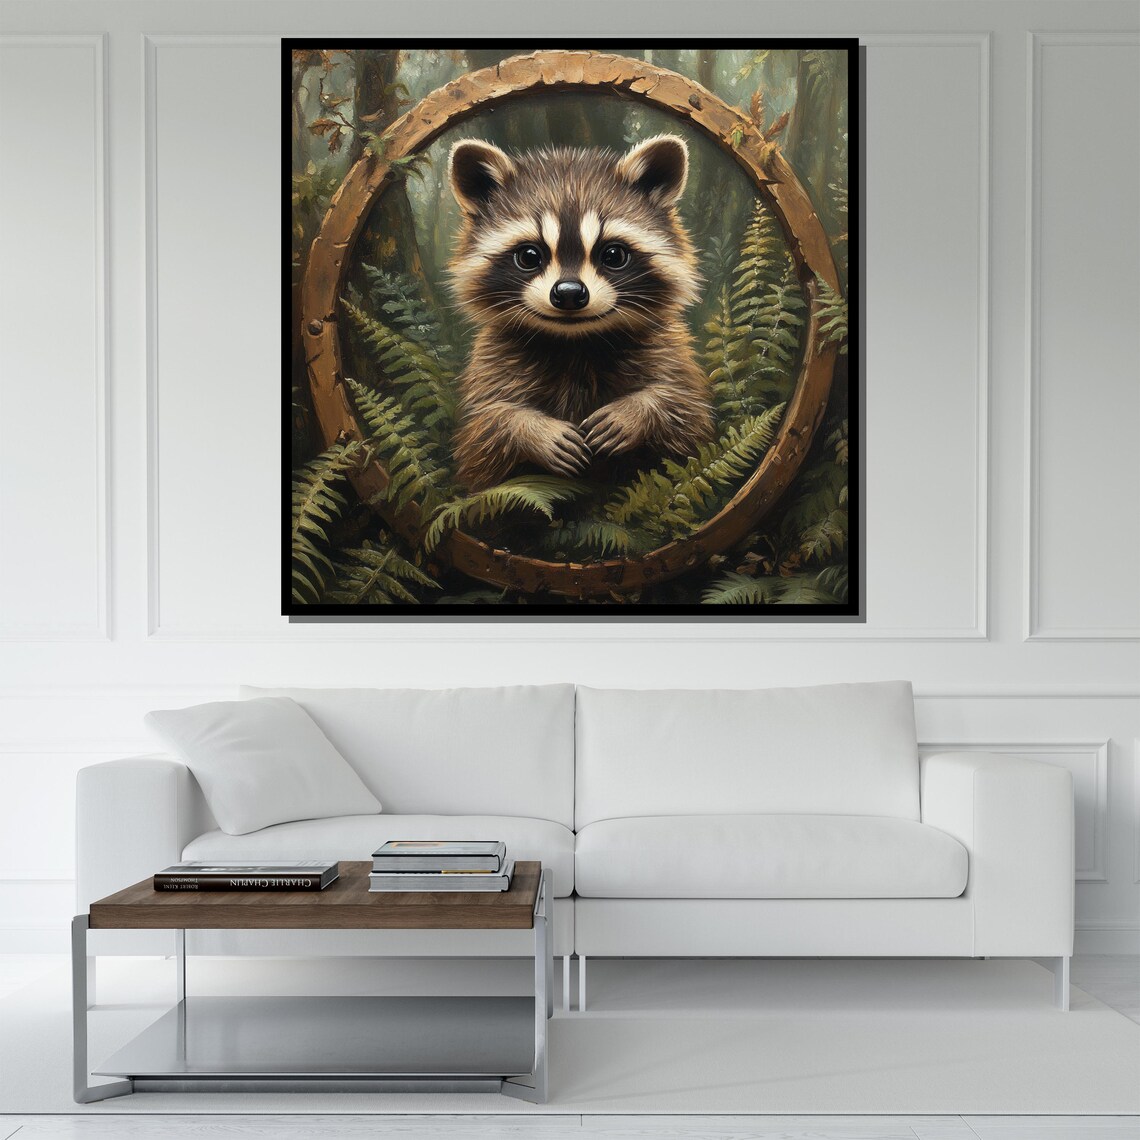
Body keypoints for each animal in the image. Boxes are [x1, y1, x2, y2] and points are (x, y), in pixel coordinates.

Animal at [446, 134, 713, 492]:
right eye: (529, 256)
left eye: (613, 255)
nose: (569, 294)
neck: (575, 342)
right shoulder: (493, 365)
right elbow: (482, 433)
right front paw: (528, 429)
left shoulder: (669, 353)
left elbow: (688, 415)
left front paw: (639, 411)